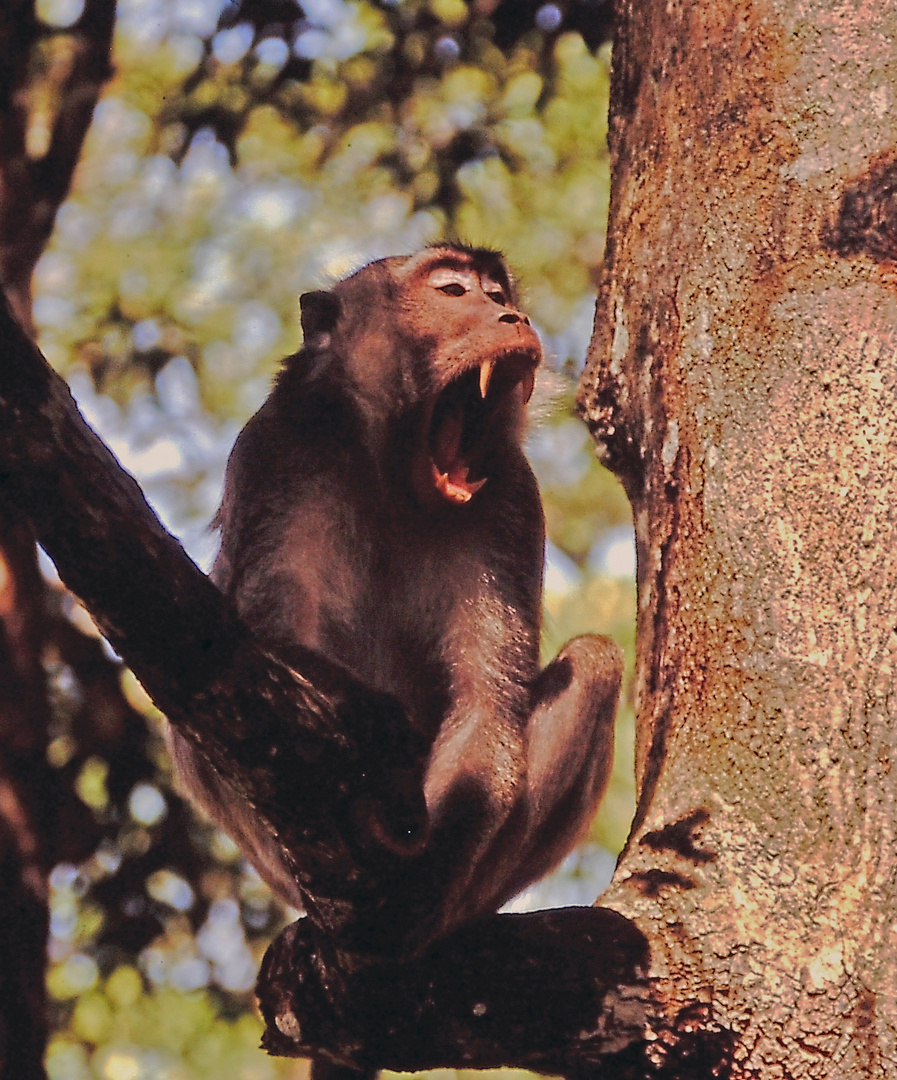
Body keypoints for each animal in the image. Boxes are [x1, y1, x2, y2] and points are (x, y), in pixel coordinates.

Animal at [171, 245, 626, 954]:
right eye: (453, 291)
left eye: (498, 293)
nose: (513, 316)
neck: (391, 469)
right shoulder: (276, 451)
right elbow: (260, 638)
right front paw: (374, 722)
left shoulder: (510, 498)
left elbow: (486, 705)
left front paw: (424, 879)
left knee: (596, 663)